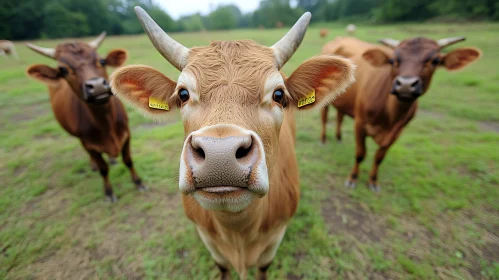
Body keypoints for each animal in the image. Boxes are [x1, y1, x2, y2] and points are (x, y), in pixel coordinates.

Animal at [25, 31, 146, 200]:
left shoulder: (127, 134)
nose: (96, 86)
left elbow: (128, 160)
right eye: (63, 70)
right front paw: (109, 192)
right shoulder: (88, 144)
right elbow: (103, 169)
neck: (106, 123)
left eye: (101, 61)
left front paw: (138, 182)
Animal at [110, 7, 356, 280]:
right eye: (183, 94)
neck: (238, 232)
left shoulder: (274, 239)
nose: (220, 155)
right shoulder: (209, 240)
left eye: (279, 94)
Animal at [322, 35, 482, 192]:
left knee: (340, 116)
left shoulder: (397, 133)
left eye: (435, 61)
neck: (390, 117)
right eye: (392, 60)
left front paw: (373, 181)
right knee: (324, 118)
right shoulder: (360, 124)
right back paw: (323, 140)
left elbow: (379, 158)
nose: (405, 85)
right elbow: (360, 154)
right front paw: (352, 178)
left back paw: (339, 138)